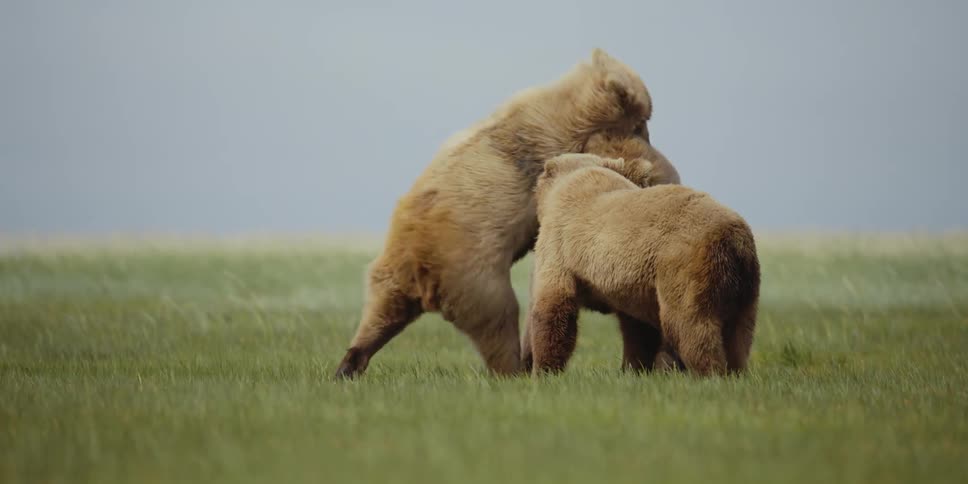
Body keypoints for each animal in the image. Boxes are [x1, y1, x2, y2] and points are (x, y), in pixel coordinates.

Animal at [334, 49, 680, 378]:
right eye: (643, 120)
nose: (649, 133)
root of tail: (421, 267)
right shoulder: (552, 141)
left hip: (393, 275)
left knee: (379, 316)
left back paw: (348, 366)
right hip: (476, 275)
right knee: (498, 321)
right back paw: (516, 369)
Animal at [526, 154, 760, 376]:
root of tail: (733, 237)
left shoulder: (559, 245)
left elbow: (554, 307)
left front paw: (544, 371)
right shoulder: (633, 285)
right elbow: (639, 330)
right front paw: (634, 368)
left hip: (684, 266)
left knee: (690, 325)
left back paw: (709, 373)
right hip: (743, 284)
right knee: (739, 335)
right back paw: (736, 372)